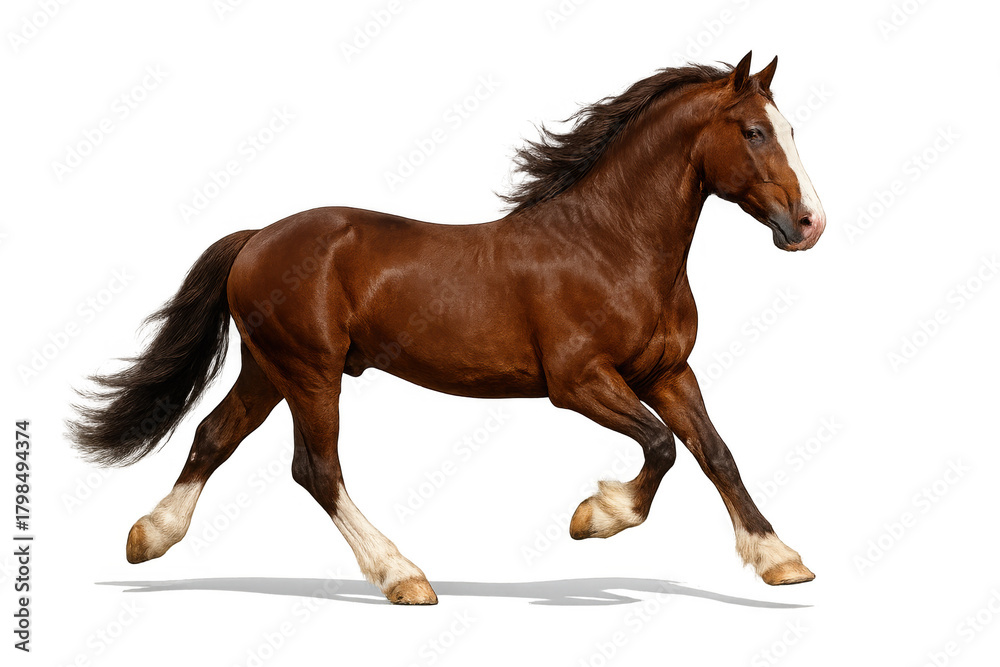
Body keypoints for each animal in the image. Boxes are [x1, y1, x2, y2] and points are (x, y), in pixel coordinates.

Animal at [70, 52, 825, 605]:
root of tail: (256, 238)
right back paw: (404, 576)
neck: (614, 246)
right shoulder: (579, 381)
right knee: (316, 468)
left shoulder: (666, 371)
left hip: (268, 368)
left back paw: (148, 538)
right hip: (310, 371)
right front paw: (593, 517)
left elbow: (715, 453)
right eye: (755, 132)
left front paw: (781, 559)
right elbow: (663, 446)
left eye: (791, 130)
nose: (810, 224)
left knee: (213, 435)